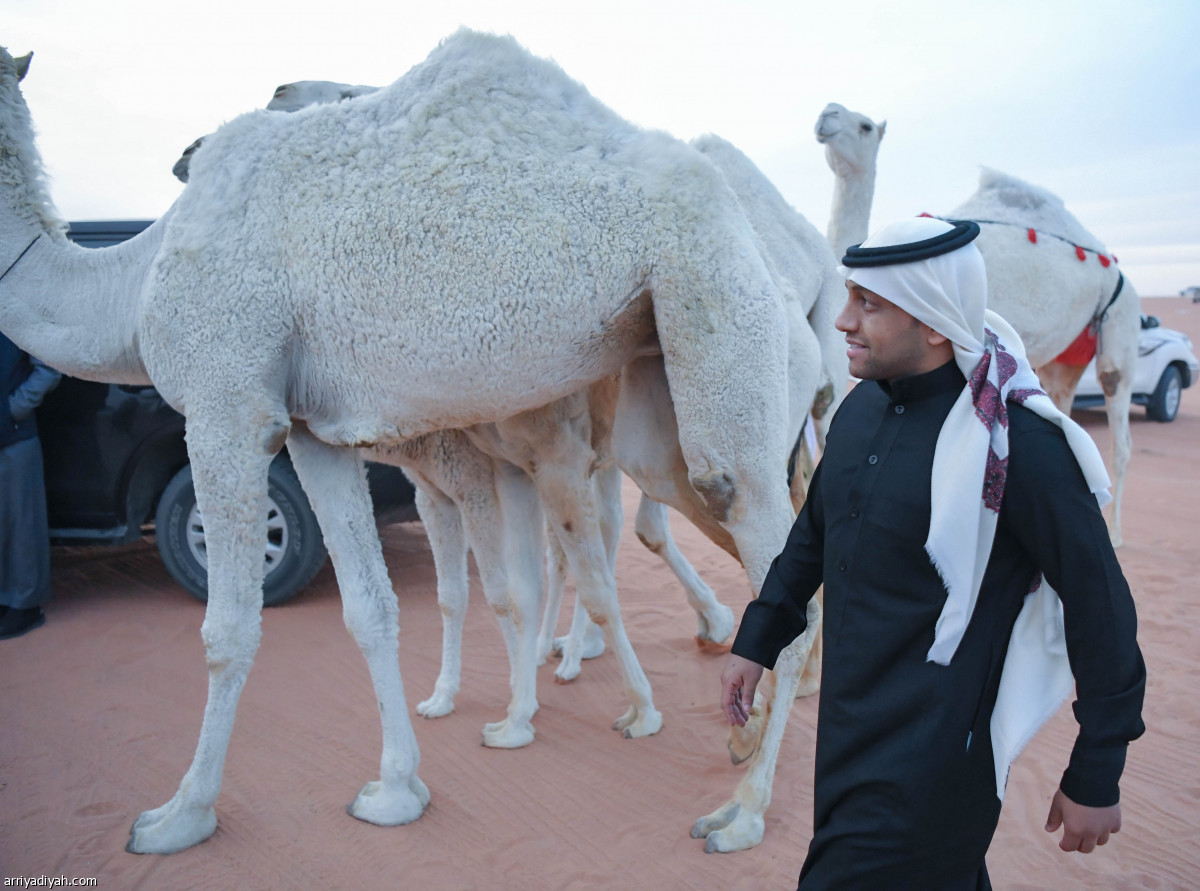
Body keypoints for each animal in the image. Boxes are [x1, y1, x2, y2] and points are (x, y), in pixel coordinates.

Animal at [0, 33, 820, 859]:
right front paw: (396, 787)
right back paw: (739, 734)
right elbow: (369, 608)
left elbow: (226, 628)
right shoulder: (311, 430)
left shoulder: (226, 401)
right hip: (659, 392)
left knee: (756, 528)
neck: (127, 284)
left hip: (713, 298)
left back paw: (743, 810)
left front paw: (180, 812)